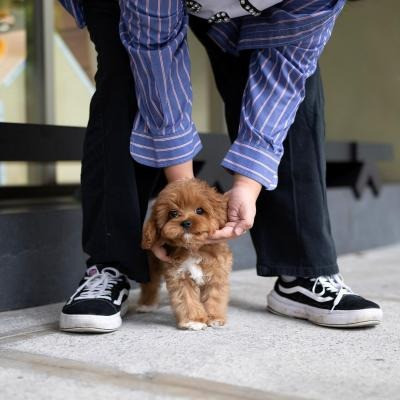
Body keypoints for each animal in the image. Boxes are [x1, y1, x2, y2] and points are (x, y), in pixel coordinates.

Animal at [138, 178, 231, 332]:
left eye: (199, 210)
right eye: (173, 213)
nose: (186, 222)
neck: (193, 248)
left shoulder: (216, 273)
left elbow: (214, 296)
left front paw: (214, 318)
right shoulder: (180, 276)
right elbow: (187, 299)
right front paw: (194, 321)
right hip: (151, 264)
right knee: (150, 283)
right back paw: (147, 304)